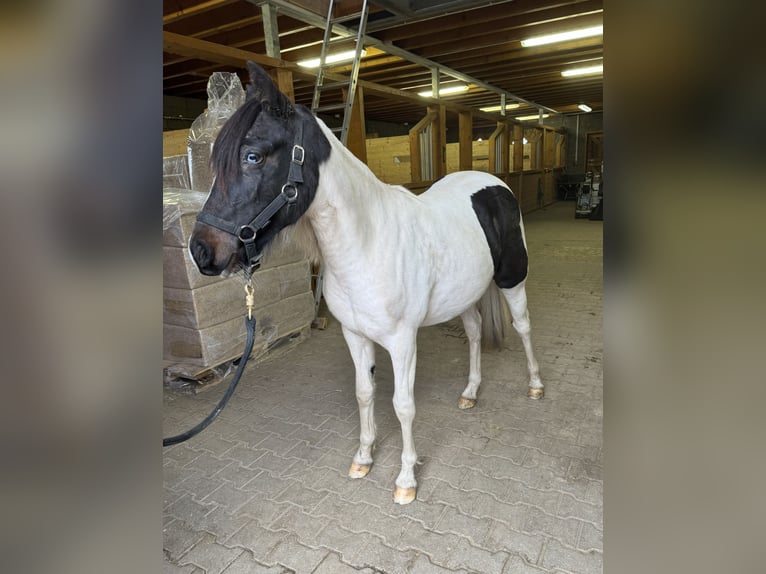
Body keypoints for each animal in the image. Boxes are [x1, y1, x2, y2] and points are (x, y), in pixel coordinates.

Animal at [189, 60, 544, 506]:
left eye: (252, 155)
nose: (201, 252)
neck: (369, 242)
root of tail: (493, 184)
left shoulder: (403, 341)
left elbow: (403, 405)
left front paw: (406, 480)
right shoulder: (354, 335)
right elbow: (364, 393)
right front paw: (363, 458)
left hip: (513, 279)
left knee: (524, 327)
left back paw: (535, 386)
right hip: (465, 295)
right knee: (477, 333)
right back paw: (470, 393)